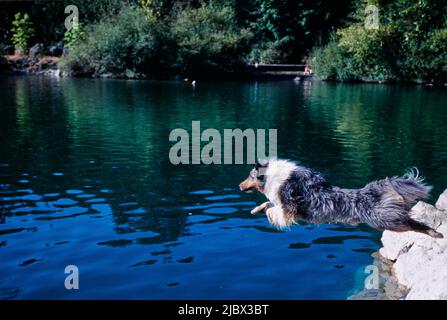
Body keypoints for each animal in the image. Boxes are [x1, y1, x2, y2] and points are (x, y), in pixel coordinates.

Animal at [240, 159, 442, 238]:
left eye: (250, 176)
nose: (239, 186)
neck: (273, 176)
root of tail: (371, 190)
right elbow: (268, 203)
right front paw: (255, 210)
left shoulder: (289, 209)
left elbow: (274, 209)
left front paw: (271, 217)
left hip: (384, 220)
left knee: (412, 223)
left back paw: (434, 233)